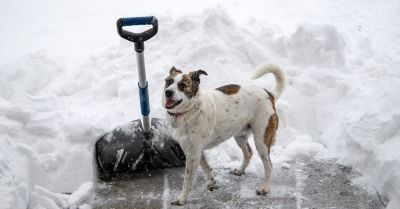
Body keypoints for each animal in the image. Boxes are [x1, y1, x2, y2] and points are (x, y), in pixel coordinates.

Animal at [161, 63, 286, 206]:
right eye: (168, 82)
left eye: (182, 85)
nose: (168, 92)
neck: (190, 110)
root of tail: (269, 94)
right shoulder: (195, 151)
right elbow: (206, 167)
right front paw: (211, 182)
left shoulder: (193, 154)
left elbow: (187, 179)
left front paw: (182, 199)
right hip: (239, 136)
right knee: (248, 153)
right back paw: (240, 170)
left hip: (262, 140)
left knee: (269, 165)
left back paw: (264, 188)